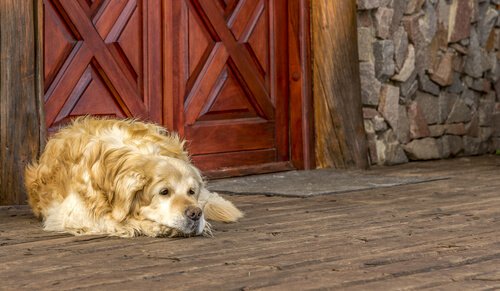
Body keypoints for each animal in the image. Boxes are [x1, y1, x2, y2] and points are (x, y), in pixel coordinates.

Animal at [24, 117, 243, 238]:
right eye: (164, 192)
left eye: (191, 192)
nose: (195, 214)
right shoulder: (71, 213)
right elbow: (114, 221)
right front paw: (153, 227)